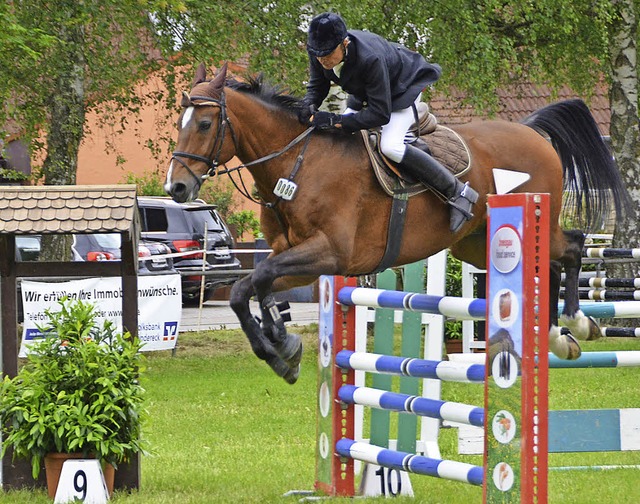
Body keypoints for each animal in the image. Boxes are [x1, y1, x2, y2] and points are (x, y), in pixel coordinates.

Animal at [164, 65, 632, 384]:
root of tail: (532, 132)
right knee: (549, 264)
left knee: (572, 246)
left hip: (529, 226)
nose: (176, 187)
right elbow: (249, 289)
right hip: (474, 243)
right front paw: (285, 349)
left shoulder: (329, 253)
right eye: (179, 123)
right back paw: (558, 336)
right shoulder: (296, 261)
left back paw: (575, 324)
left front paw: (281, 346)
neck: (296, 164)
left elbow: (253, 283)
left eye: (204, 124)